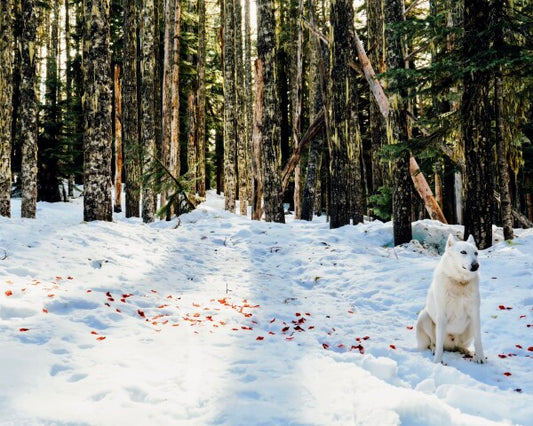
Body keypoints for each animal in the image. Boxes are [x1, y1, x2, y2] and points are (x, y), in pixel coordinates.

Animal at [416, 233, 486, 362]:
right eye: (463, 252)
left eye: (476, 253)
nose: (476, 265)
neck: (459, 282)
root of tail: (450, 345)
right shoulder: (442, 316)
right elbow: (439, 345)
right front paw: (437, 362)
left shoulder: (475, 314)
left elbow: (478, 340)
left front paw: (480, 357)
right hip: (424, 317)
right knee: (433, 342)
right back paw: (434, 350)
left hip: (470, 326)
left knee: (459, 346)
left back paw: (465, 350)